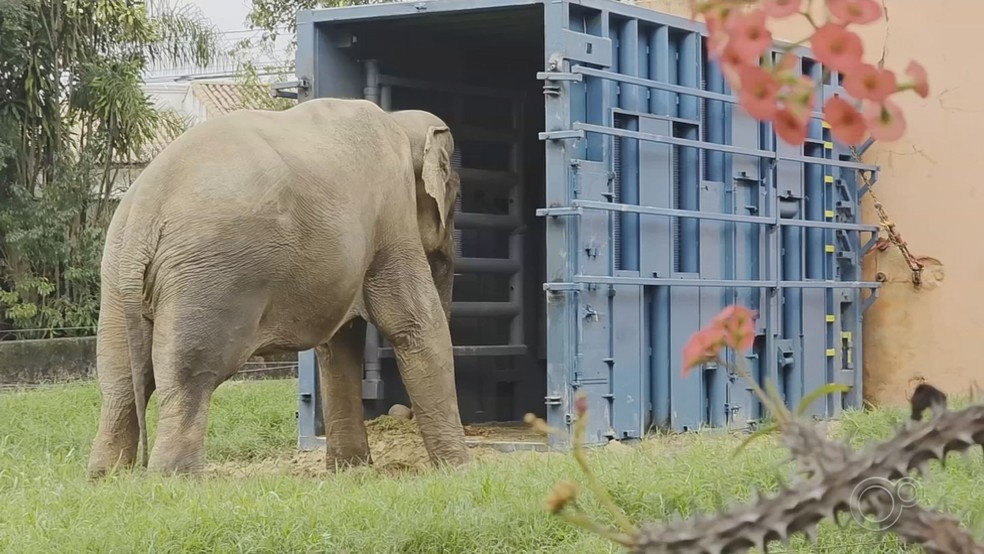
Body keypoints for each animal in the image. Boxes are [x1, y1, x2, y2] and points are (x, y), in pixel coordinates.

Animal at [86, 97, 470, 478]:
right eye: (455, 196)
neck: (398, 122)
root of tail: (143, 215)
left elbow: (339, 343)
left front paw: (350, 472)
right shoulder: (391, 214)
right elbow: (414, 323)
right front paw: (460, 471)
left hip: (117, 278)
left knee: (121, 379)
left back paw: (106, 478)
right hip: (209, 276)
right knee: (189, 375)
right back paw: (175, 481)